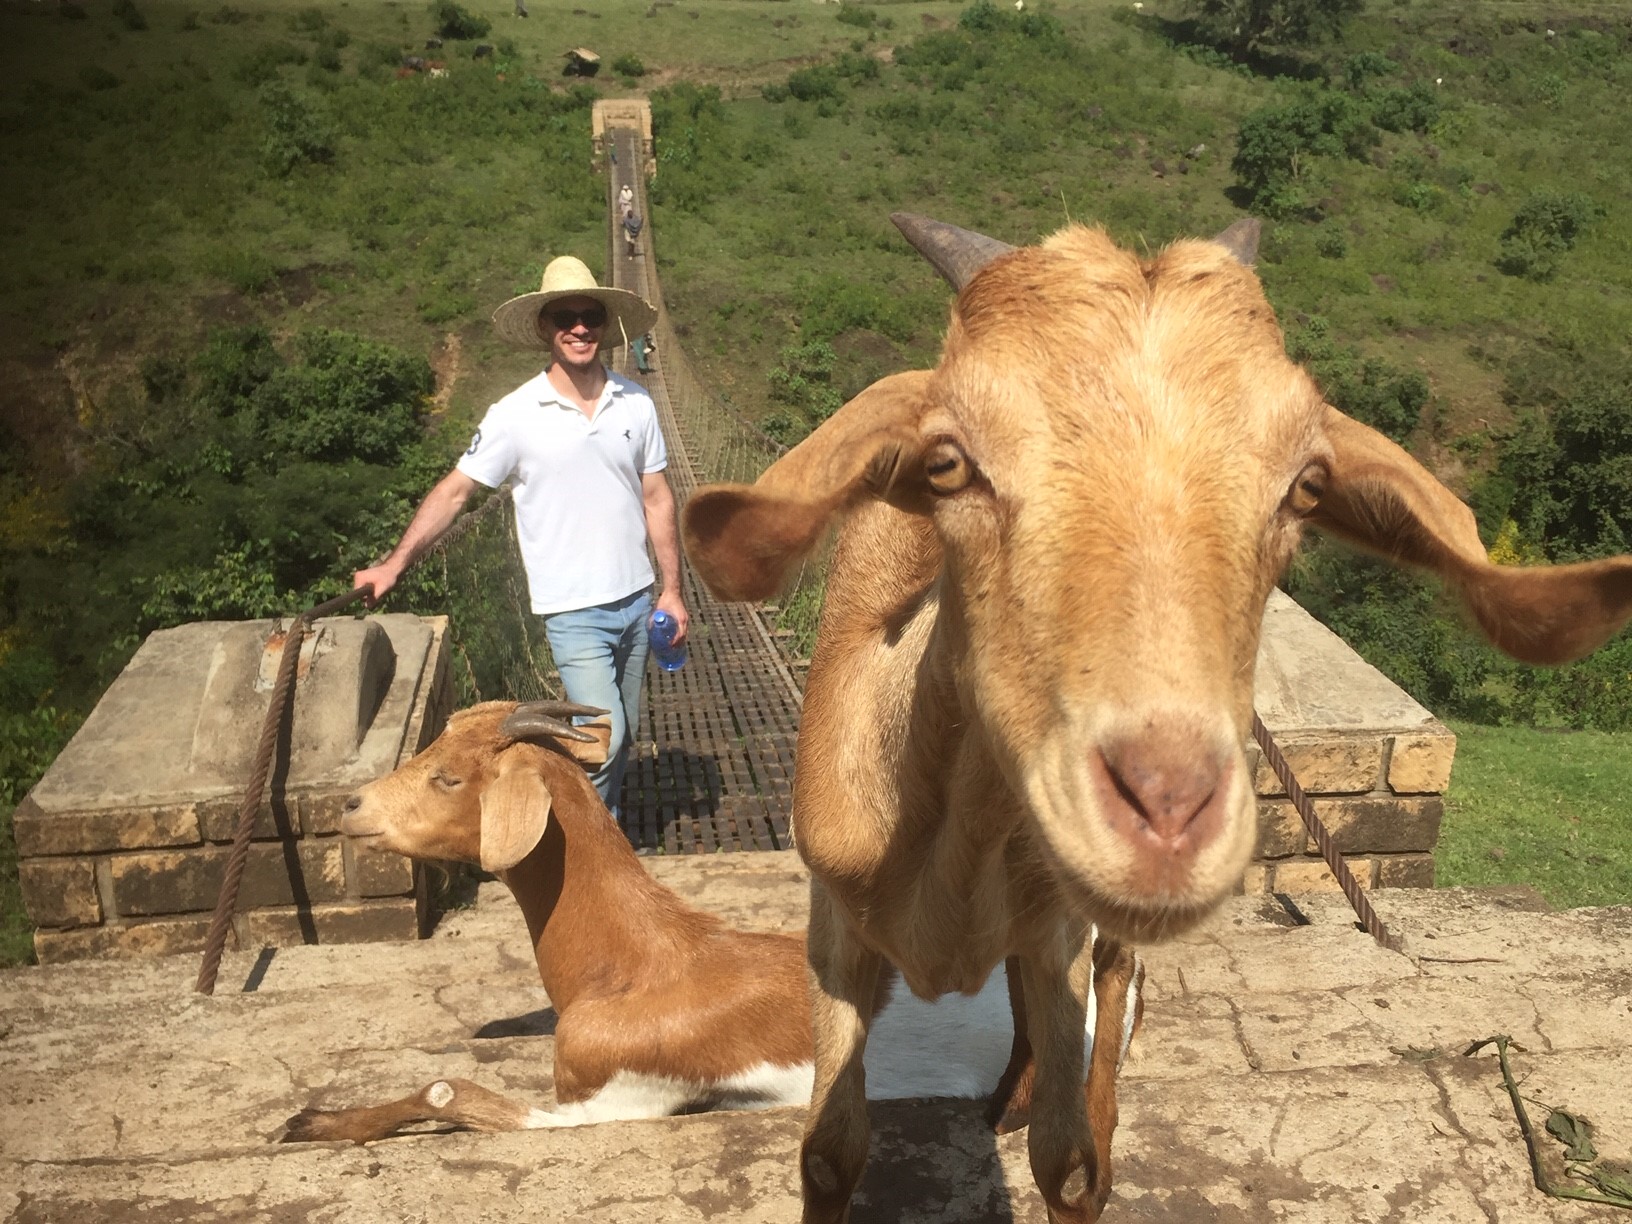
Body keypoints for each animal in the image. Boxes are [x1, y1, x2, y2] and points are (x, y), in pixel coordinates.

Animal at [283, 700, 1142, 1145]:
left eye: (447, 777)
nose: (350, 807)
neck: (630, 961)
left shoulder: (610, 1100)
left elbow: (446, 1090)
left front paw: (315, 1121)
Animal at [680, 213, 1632, 1223]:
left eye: (1306, 486)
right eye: (947, 464)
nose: (1168, 809)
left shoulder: (1059, 928)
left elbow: (1070, 1160)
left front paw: (1073, 1144)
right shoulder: (834, 926)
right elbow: (829, 1151)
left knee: (1111, 986)